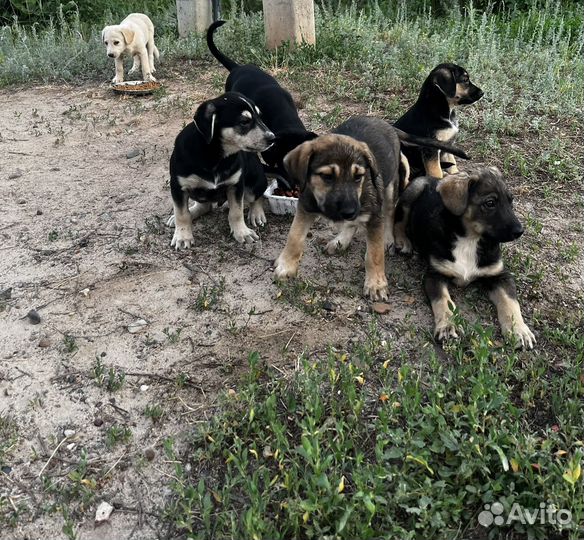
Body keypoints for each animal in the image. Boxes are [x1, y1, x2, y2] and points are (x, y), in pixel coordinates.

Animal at [169, 91, 276, 249]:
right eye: (244, 121)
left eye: (260, 117)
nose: (273, 138)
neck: (214, 156)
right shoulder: (178, 186)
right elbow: (181, 214)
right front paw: (183, 237)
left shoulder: (236, 185)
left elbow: (236, 211)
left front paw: (242, 233)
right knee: (204, 206)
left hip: (253, 184)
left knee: (257, 197)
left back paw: (256, 214)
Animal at [272, 116, 402, 302]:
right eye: (327, 176)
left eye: (358, 176)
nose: (349, 211)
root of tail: (383, 122)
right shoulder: (305, 207)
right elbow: (294, 236)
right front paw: (286, 265)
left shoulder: (374, 216)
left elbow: (374, 254)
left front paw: (376, 284)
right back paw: (341, 241)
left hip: (390, 187)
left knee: (390, 212)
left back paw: (388, 239)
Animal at [394, 167, 536, 348]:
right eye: (490, 203)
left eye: (511, 201)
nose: (519, 231)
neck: (470, 240)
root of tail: (434, 179)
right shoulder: (435, 275)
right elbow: (443, 301)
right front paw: (448, 325)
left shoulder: (500, 275)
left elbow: (510, 302)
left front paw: (518, 330)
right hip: (414, 190)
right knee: (398, 219)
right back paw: (402, 240)